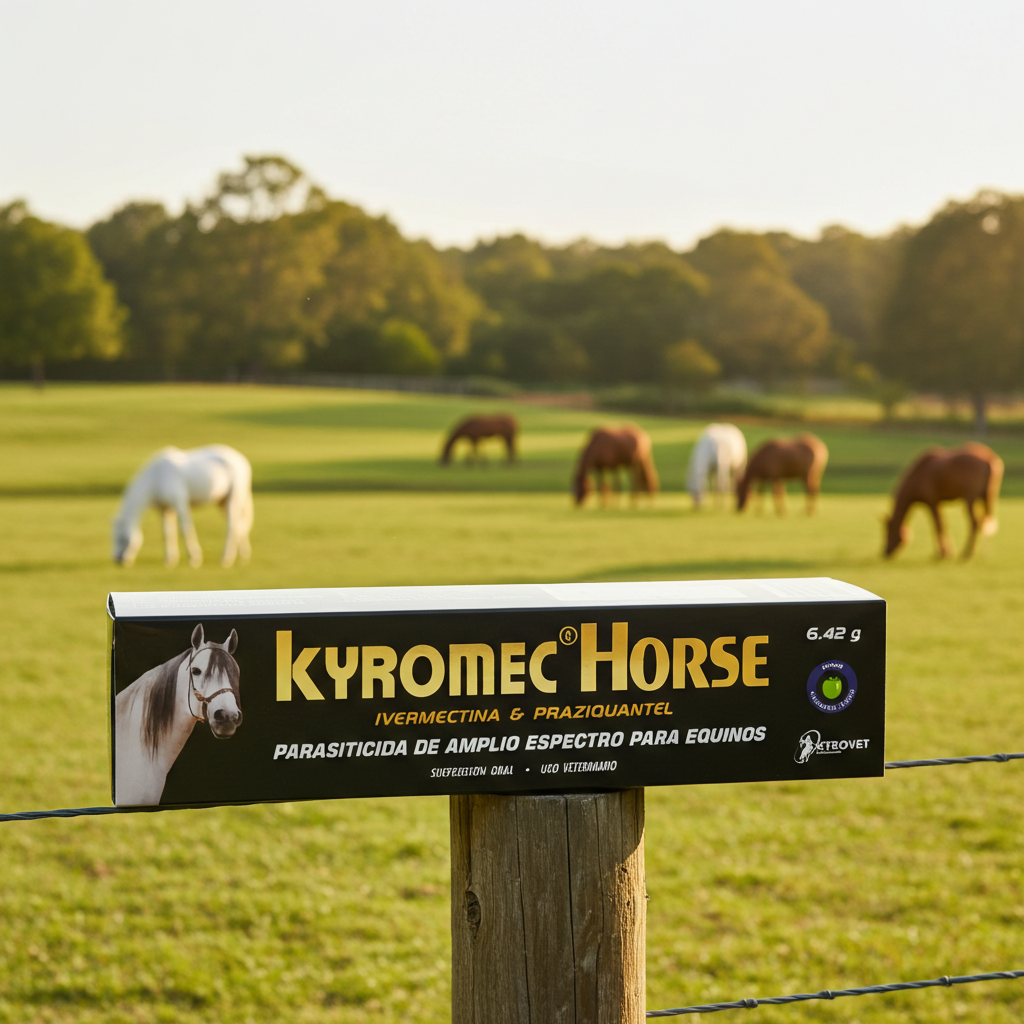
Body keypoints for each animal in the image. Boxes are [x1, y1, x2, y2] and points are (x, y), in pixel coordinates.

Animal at [112, 445, 254, 567]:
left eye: (121, 538)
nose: (118, 560)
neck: (155, 478)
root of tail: (241, 459)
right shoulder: (164, 509)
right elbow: (167, 533)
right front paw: (169, 560)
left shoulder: (179, 502)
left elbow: (185, 528)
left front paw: (194, 558)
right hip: (222, 502)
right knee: (240, 525)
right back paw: (243, 555)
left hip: (234, 499)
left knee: (232, 526)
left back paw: (226, 559)